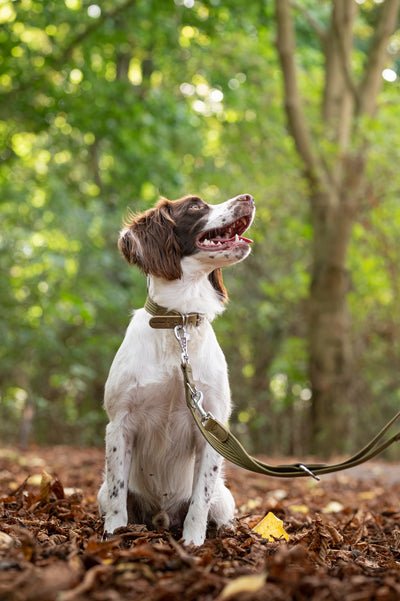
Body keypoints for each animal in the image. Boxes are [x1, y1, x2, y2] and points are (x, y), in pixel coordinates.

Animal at [97, 192, 255, 544]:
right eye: (195, 206)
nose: (248, 197)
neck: (178, 323)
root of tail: (162, 516)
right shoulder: (119, 424)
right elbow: (117, 495)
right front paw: (114, 534)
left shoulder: (212, 426)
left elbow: (200, 499)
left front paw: (193, 542)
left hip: (224, 497)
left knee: (218, 511)